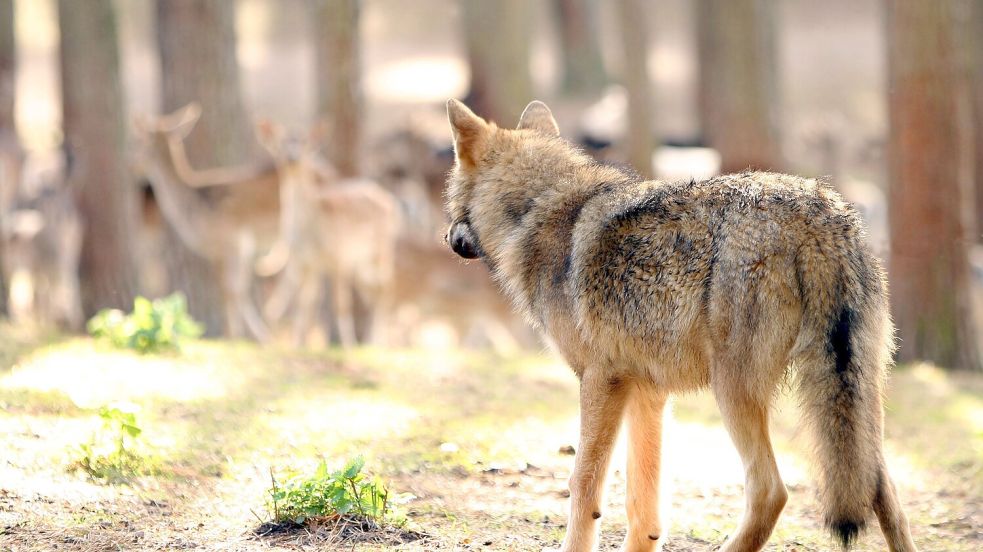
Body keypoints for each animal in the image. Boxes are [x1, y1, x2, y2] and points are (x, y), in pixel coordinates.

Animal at [131, 103, 276, 340]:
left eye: (140, 141)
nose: (132, 166)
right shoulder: (232, 249)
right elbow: (235, 290)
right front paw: (250, 336)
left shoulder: (232, 241)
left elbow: (232, 290)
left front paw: (236, 337)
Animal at [254, 119, 400, 350]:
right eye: (280, 143)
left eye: (304, 143)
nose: (292, 157)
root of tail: (391, 203)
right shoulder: (305, 263)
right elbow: (304, 304)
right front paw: (298, 345)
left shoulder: (338, 256)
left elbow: (340, 304)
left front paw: (348, 347)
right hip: (361, 265)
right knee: (375, 294)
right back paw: (373, 343)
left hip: (381, 250)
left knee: (388, 289)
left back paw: (377, 344)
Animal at [442, 100, 920, 552]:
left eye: (448, 198)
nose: (446, 238)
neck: (539, 210)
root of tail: (819, 215)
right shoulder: (646, 392)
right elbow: (643, 503)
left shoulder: (600, 379)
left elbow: (584, 483)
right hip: (858, 408)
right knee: (886, 496)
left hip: (733, 392)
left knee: (771, 492)